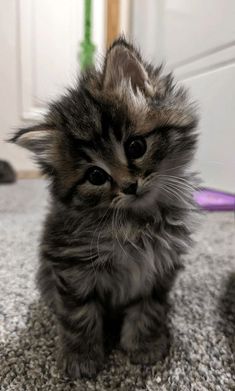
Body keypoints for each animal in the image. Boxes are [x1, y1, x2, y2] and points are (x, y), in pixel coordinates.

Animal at [11, 37, 198, 380]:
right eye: (96, 176)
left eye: (136, 147)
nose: (129, 186)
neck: (136, 223)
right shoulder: (72, 269)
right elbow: (79, 316)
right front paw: (81, 357)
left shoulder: (159, 266)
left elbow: (149, 308)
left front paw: (144, 345)